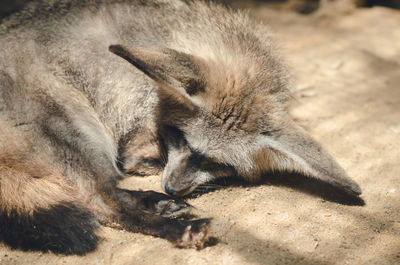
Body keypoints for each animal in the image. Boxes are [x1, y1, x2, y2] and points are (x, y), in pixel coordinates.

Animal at [0, 0, 362, 255]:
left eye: (217, 163)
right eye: (183, 140)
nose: (172, 187)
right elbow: (138, 157)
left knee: (105, 194)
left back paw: (157, 203)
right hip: (81, 131)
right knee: (101, 201)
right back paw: (173, 224)